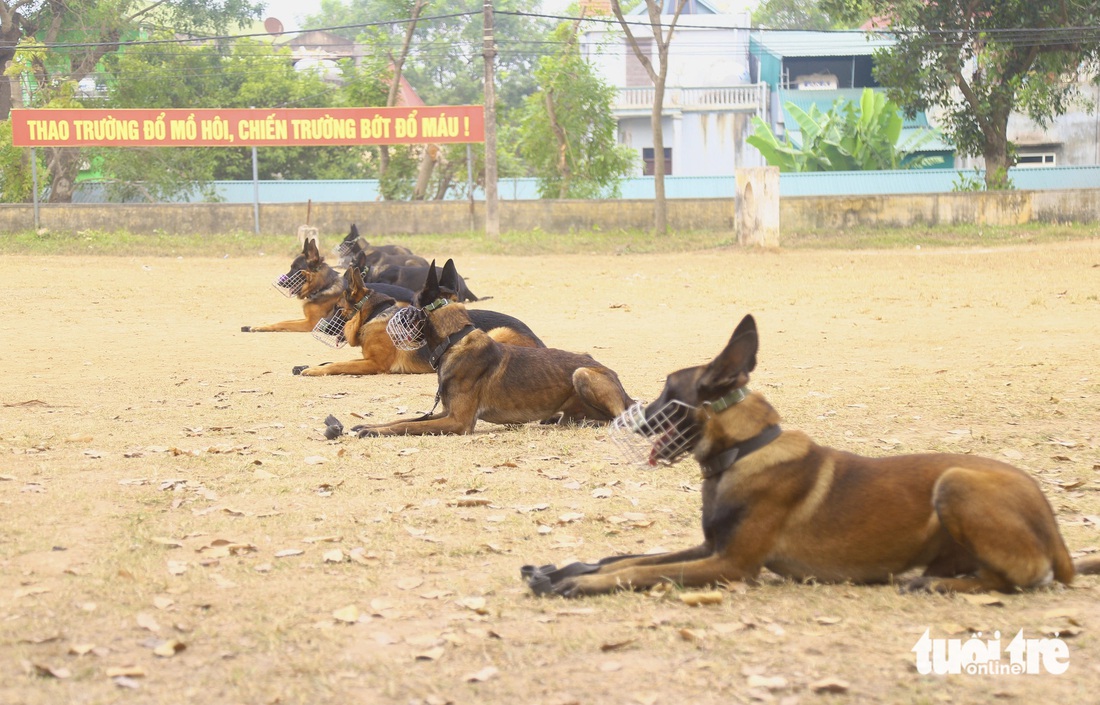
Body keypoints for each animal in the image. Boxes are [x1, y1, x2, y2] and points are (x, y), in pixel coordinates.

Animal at [297, 263, 545, 373]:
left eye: (337, 308)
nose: (319, 328)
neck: (374, 315)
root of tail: (539, 340)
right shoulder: (368, 359)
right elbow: (337, 361)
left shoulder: (375, 364)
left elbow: (338, 364)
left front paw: (314, 370)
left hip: (497, 332)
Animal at [347, 258, 633, 435]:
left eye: (411, 305)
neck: (455, 340)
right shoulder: (445, 412)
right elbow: (404, 419)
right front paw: (368, 426)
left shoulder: (458, 421)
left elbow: (407, 426)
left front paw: (373, 432)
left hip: (582, 374)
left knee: (619, 418)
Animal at [525, 316, 1100, 598]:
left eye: (669, 393)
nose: (632, 418)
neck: (744, 451)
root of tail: (1055, 530)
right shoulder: (712, 546)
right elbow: (631, 558)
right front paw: (564, 568)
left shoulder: (731, 563)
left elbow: (639, 573)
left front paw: (576, 582)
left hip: (955, 482)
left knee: (1021, 577)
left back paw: (934, 582)